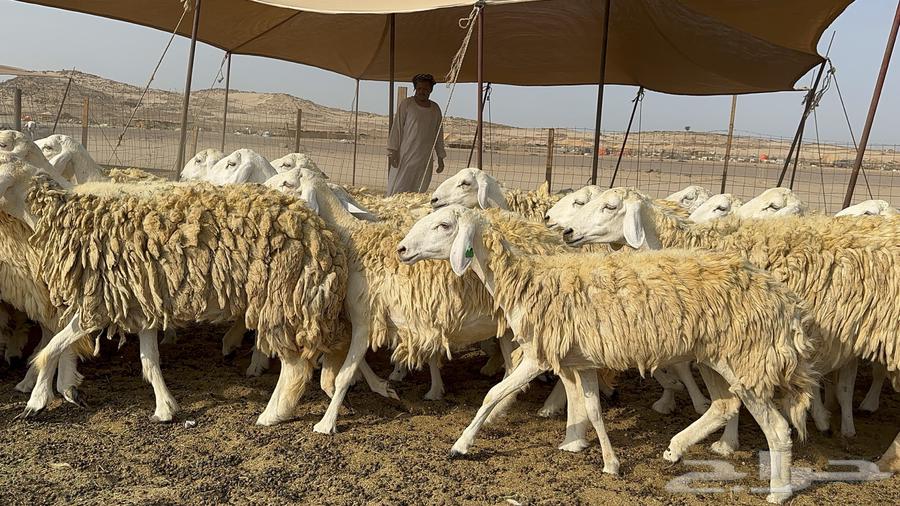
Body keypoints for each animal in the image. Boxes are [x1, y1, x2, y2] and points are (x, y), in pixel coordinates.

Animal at [0, 157, 349, 426]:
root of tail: (323, 234)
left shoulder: (99, 304)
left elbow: (52, 348)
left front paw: (37, 400)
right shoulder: (137, 302)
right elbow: (148, 360)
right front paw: (165, 408)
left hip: (283, 299)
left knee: (295, 367)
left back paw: (272, 414)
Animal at [397, 205, 817, 504]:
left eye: (443, 226)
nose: (401, 249)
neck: (524, 280)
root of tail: (785, 302)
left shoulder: (538, 354)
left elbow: (492, 394)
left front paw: (461, 445)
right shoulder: (581, 359)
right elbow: (592, 408)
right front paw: (607, 460)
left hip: (746, 358)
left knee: (775, 428)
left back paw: (778, 491)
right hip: (716, 357)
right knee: (724, 405)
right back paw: (676, 448)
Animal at [562, 187, 900, 470]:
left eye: (610, 206)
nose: (567, 231)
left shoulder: (733, 342)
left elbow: (728, 396)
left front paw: (726, 442)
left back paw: (885, 457)